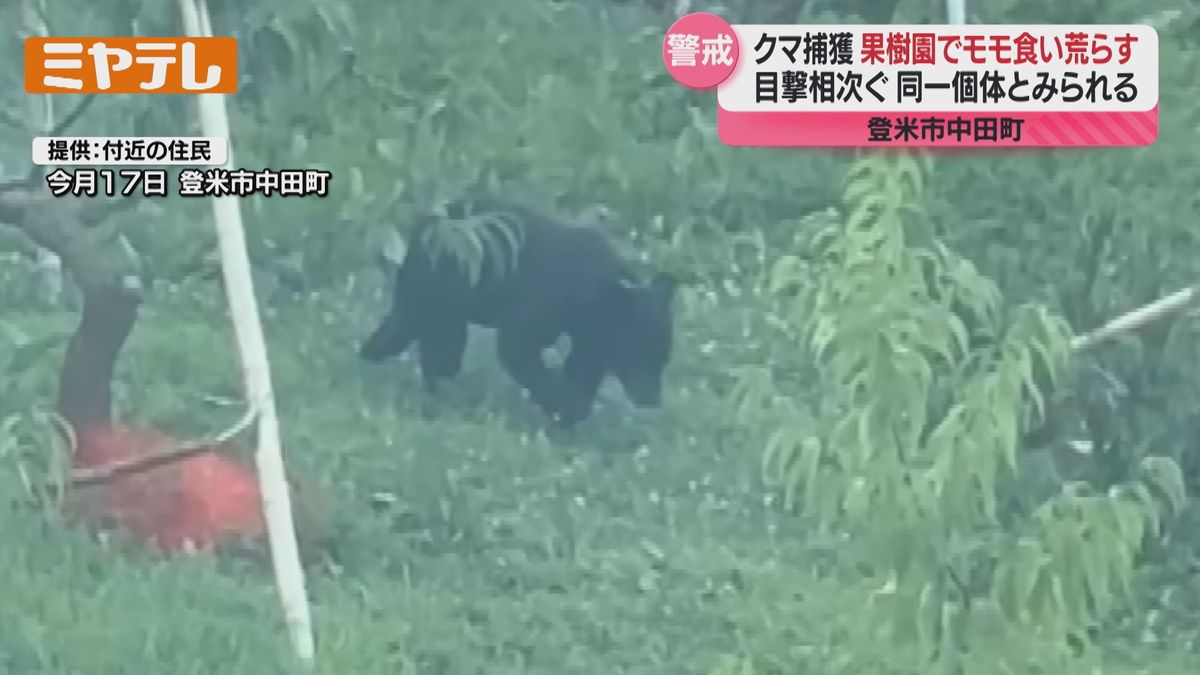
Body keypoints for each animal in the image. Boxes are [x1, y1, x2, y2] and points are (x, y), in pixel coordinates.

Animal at [359, 197, 676, 427]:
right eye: (641, 351)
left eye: (663, 358)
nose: (652, 400)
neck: (598, 295)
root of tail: (426, 223)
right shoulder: (545, 302)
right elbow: (518, 348)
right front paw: (566, 406)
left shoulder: (591, 334)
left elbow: (582, 364)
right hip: (441, 288)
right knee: (438, 339)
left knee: (410, 328)